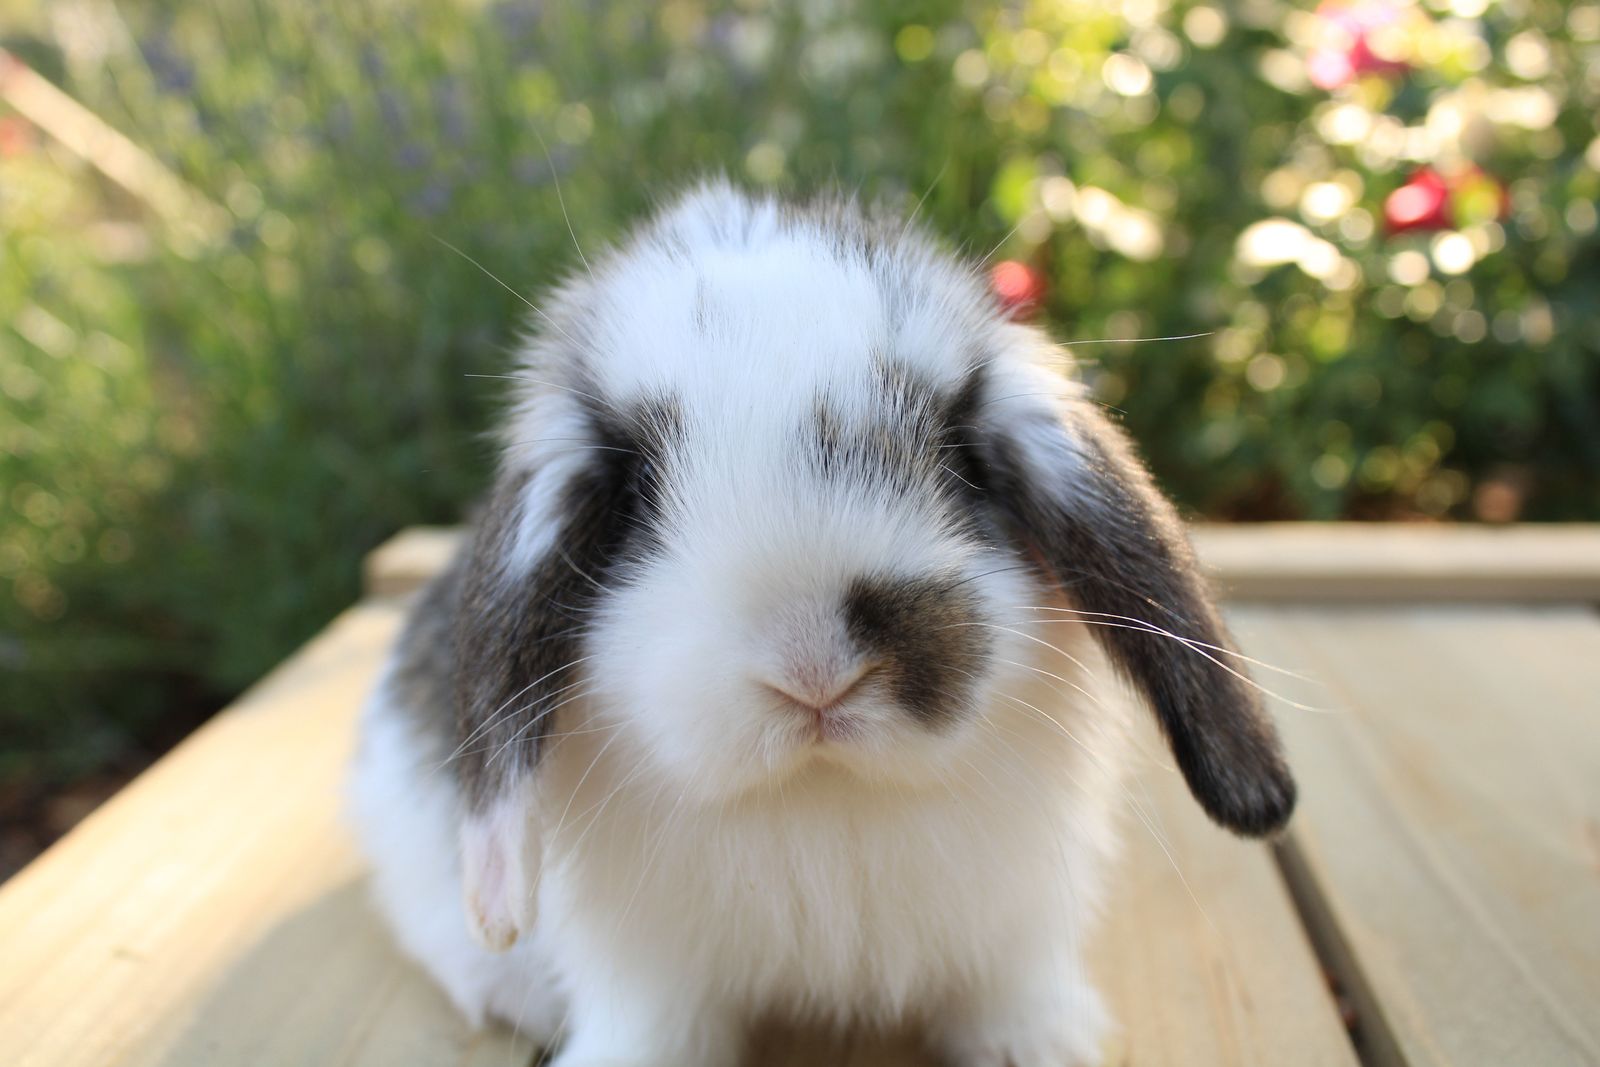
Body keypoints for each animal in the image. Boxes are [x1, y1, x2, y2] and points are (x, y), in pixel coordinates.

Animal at [347, 181, 1295, 1067]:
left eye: (958, 459)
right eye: (635, 493)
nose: (815, 670)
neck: (820, 793)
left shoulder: (1013, 930)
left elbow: (1008, 991)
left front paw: (1036, 1047)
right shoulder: (647, 970)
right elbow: (653, 1026)